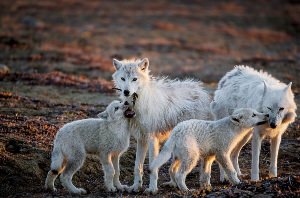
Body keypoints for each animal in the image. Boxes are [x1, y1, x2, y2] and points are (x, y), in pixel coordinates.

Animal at [111, 57, 212, 193]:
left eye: (134, 79)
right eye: (123, 78)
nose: (126, 92)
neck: (138, 103)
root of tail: (201, 90)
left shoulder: (152, 140)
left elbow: (153, 168)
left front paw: (152, 189)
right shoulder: (141, 140)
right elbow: (137, 166)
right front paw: (136, 187)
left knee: (206, 161)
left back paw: (206, 184)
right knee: (173, 168)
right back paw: (173, 183)